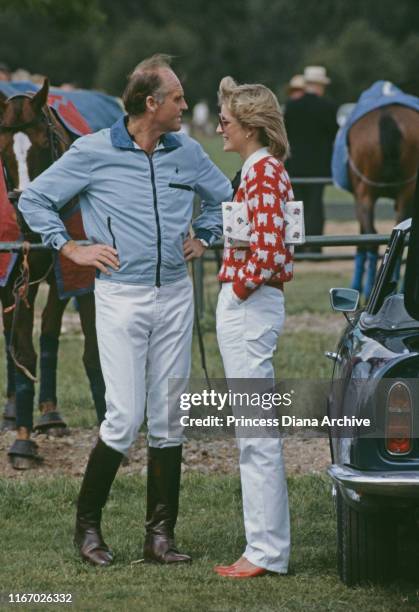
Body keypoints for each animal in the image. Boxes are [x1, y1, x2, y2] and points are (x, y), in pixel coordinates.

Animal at [0, 79, 106, 470]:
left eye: (43, 146)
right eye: (2, 152)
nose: (27, 217)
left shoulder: (81, 275)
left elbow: (92, 351)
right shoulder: (19, 279)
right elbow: (22, 350)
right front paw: (22, 442)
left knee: (48, 328)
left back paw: (50, 413)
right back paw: (13, 411)